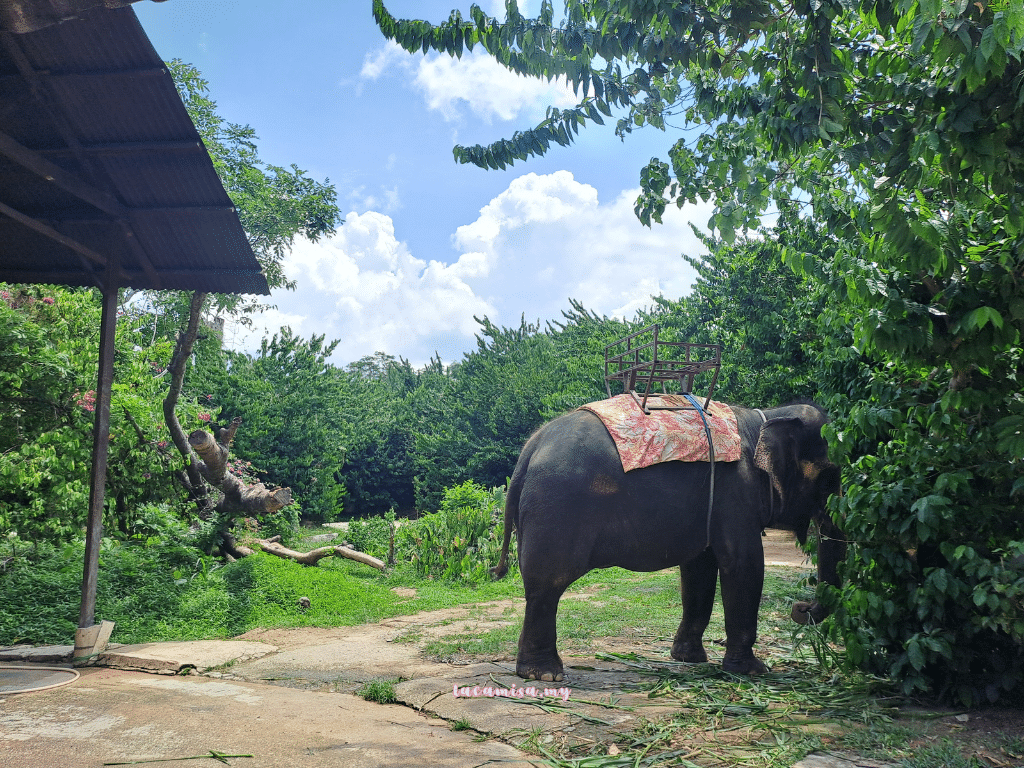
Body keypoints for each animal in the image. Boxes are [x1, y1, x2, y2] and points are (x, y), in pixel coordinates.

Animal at [491, 399, 843, 684]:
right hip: (556, 510)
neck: (766, 417)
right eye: (829, 478)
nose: (800, 608)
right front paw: (754, 671)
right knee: (547, 587)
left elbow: (699, 568)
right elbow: (743, 564)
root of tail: (529, 449)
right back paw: (544, 674)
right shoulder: (736, 493)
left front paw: (689, 659)